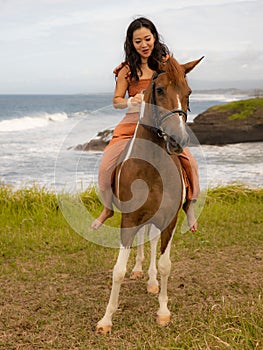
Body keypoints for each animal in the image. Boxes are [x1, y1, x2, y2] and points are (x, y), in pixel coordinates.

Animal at [95, 54, 204, 334]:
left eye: (189, 92)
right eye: (160, 90)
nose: (178, 140)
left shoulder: (169, 219)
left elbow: (165, 265)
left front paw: (163, 311)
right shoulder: (129, 219)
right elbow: (118, 270)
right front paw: (106, 319)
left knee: (152, 242)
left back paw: (152, 281)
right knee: (142, 239)